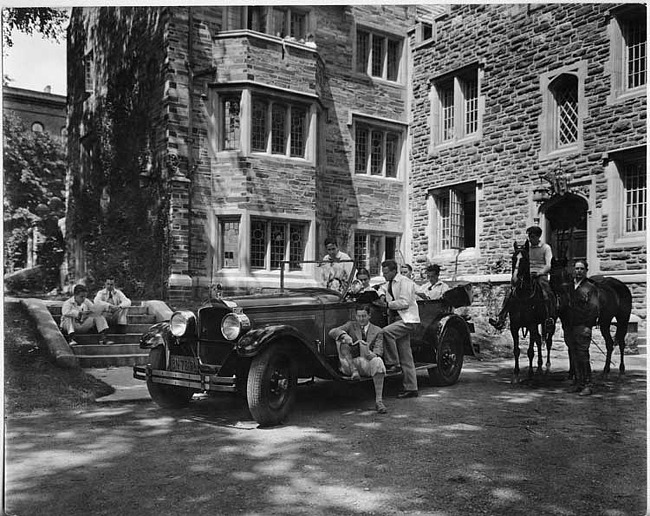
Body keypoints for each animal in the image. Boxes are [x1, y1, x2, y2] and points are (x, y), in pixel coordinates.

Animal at [506, 242, 556, 382]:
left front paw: (530, 373)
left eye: (525, 259)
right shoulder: (514, 326)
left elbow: (530, 351)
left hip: (551, 324)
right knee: (538, 340)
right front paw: (516, 374)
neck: (523, 295)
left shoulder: (531, 324)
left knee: (548, 342)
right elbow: (516, 350)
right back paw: (538, 367)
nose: (515, 280)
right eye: (513, 258)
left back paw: (547, 367)